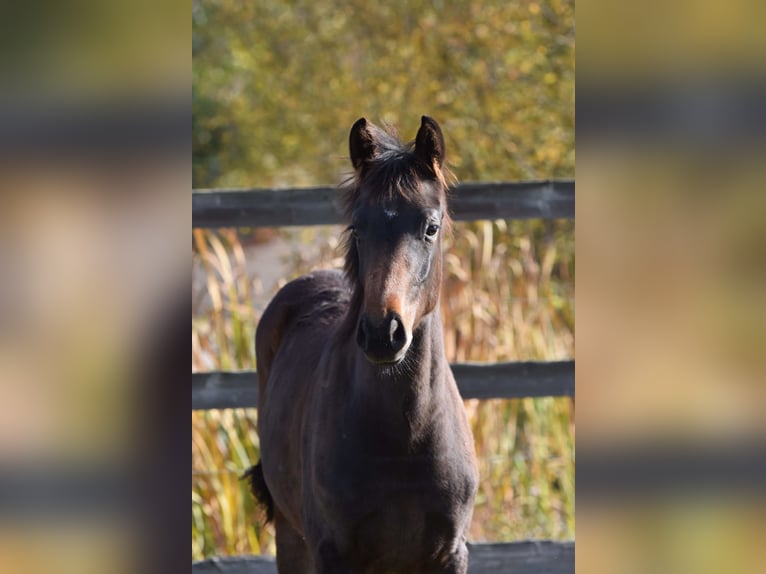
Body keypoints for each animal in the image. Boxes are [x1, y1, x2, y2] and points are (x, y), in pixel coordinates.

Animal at [246, 117, 476, 574]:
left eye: (430, 227)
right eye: (357, 227)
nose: (383, 333)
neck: (403, 443)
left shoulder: (450, 554)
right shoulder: (333, 552)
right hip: (290, 535)